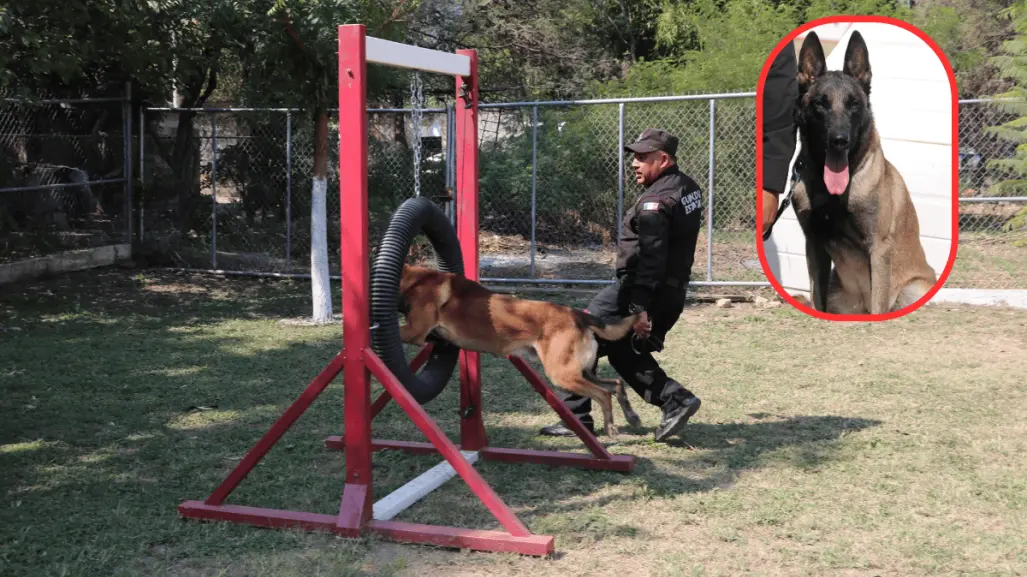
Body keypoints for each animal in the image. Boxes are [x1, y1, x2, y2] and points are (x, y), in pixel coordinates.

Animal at [398, 264, 644, 435]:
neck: (414, 279)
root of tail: (578, 315)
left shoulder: (414, 332)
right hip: (581, 371)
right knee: (616, 384)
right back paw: (632, 417)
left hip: (561, 374)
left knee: (603, 394)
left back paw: (611, 428)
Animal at [784, 29, 940, 312]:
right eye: (820, 104)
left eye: (854, 104)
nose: (839, 140)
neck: (831, 191)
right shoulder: (814, 246)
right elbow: (817, 298)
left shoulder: (878, 250)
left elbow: (879, 301)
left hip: (912, 289)